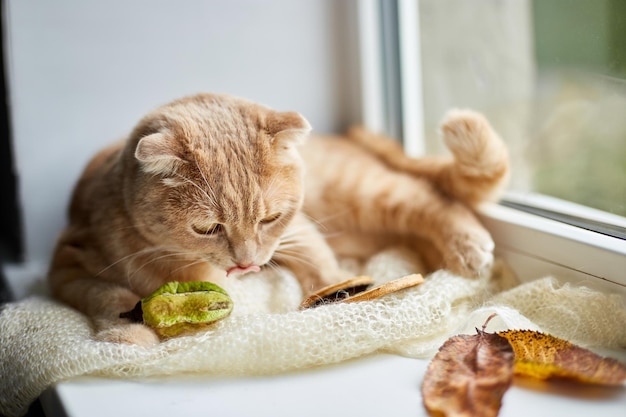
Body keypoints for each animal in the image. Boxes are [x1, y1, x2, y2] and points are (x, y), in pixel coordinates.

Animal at [48, 93, 508, 344]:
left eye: (269, 218)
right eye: (207, 228)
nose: (247, 263)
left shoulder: (297, 230)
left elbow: (320, 265)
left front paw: (338, 293)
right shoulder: (67, 265)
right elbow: (107, 296)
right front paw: (128, 332)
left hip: (366, 191)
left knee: (431, 198)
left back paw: (467, 246)